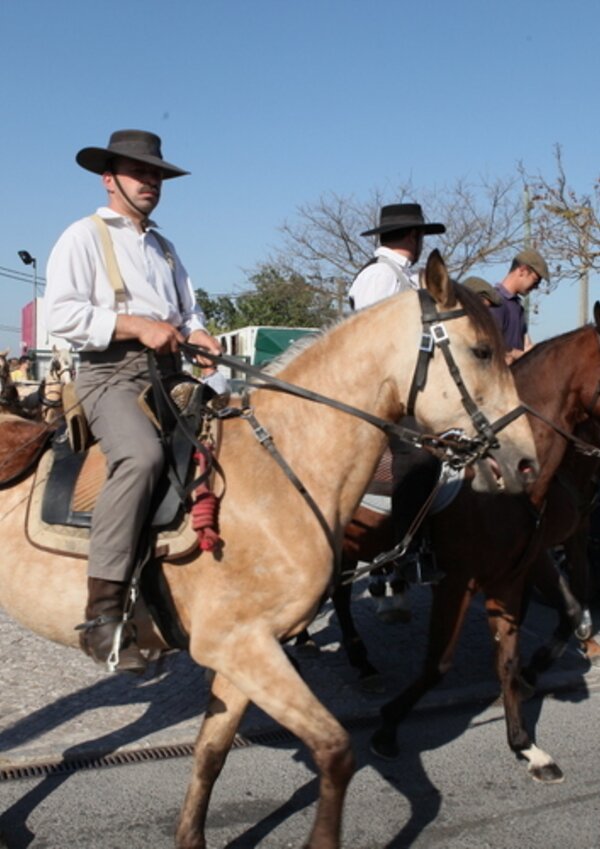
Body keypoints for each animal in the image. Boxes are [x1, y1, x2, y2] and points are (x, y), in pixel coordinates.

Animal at [0, 251, 537, 849]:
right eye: (482, 350)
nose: (526, 461)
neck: (281, 469)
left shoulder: (241, 653)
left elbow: (211, 753)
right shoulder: (242, 646)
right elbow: (335, 750)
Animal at [325, 305, 600, 787]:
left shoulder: (515, 573)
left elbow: (512, 654)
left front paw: (525, 745)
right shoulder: (456, 581)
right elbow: (438, 663)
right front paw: (388, 728)